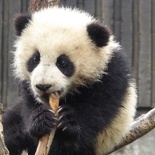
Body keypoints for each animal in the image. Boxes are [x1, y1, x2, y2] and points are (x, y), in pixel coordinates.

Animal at [1, 6, 136, 155]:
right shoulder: (29, 88)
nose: (43, 86)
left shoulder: (111, 75)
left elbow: (99, 107)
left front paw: (68, 121)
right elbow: (29, 105)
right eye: (35, 59)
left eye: (63, 62)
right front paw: (41, 119)